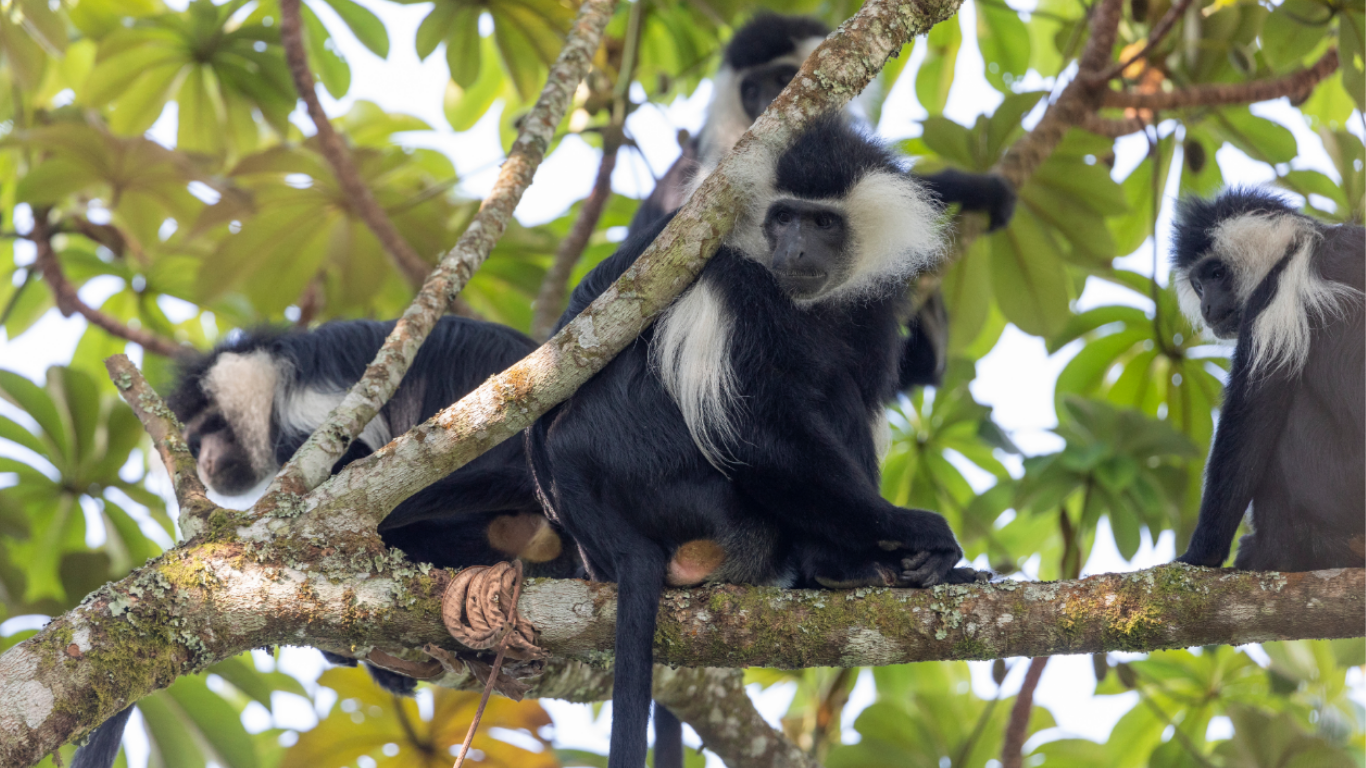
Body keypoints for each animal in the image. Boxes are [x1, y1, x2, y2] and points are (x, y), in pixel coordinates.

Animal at [530, 116, 972, 759]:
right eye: (783, 218)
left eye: (822, 223)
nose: (796, 248)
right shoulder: (724, 273)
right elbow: (753, 433)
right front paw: (915, 530)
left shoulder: (872, 308)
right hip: (684, 491)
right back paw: (843, 565)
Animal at [1169, 187, 1360, 568]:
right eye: (1198, 285)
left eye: (1215, 274)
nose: (1206, 308)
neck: (1297, 245)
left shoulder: (1272, 302)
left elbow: (1247, 431)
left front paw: (1199, 555)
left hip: (1338, 480)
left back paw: (1280, 551)